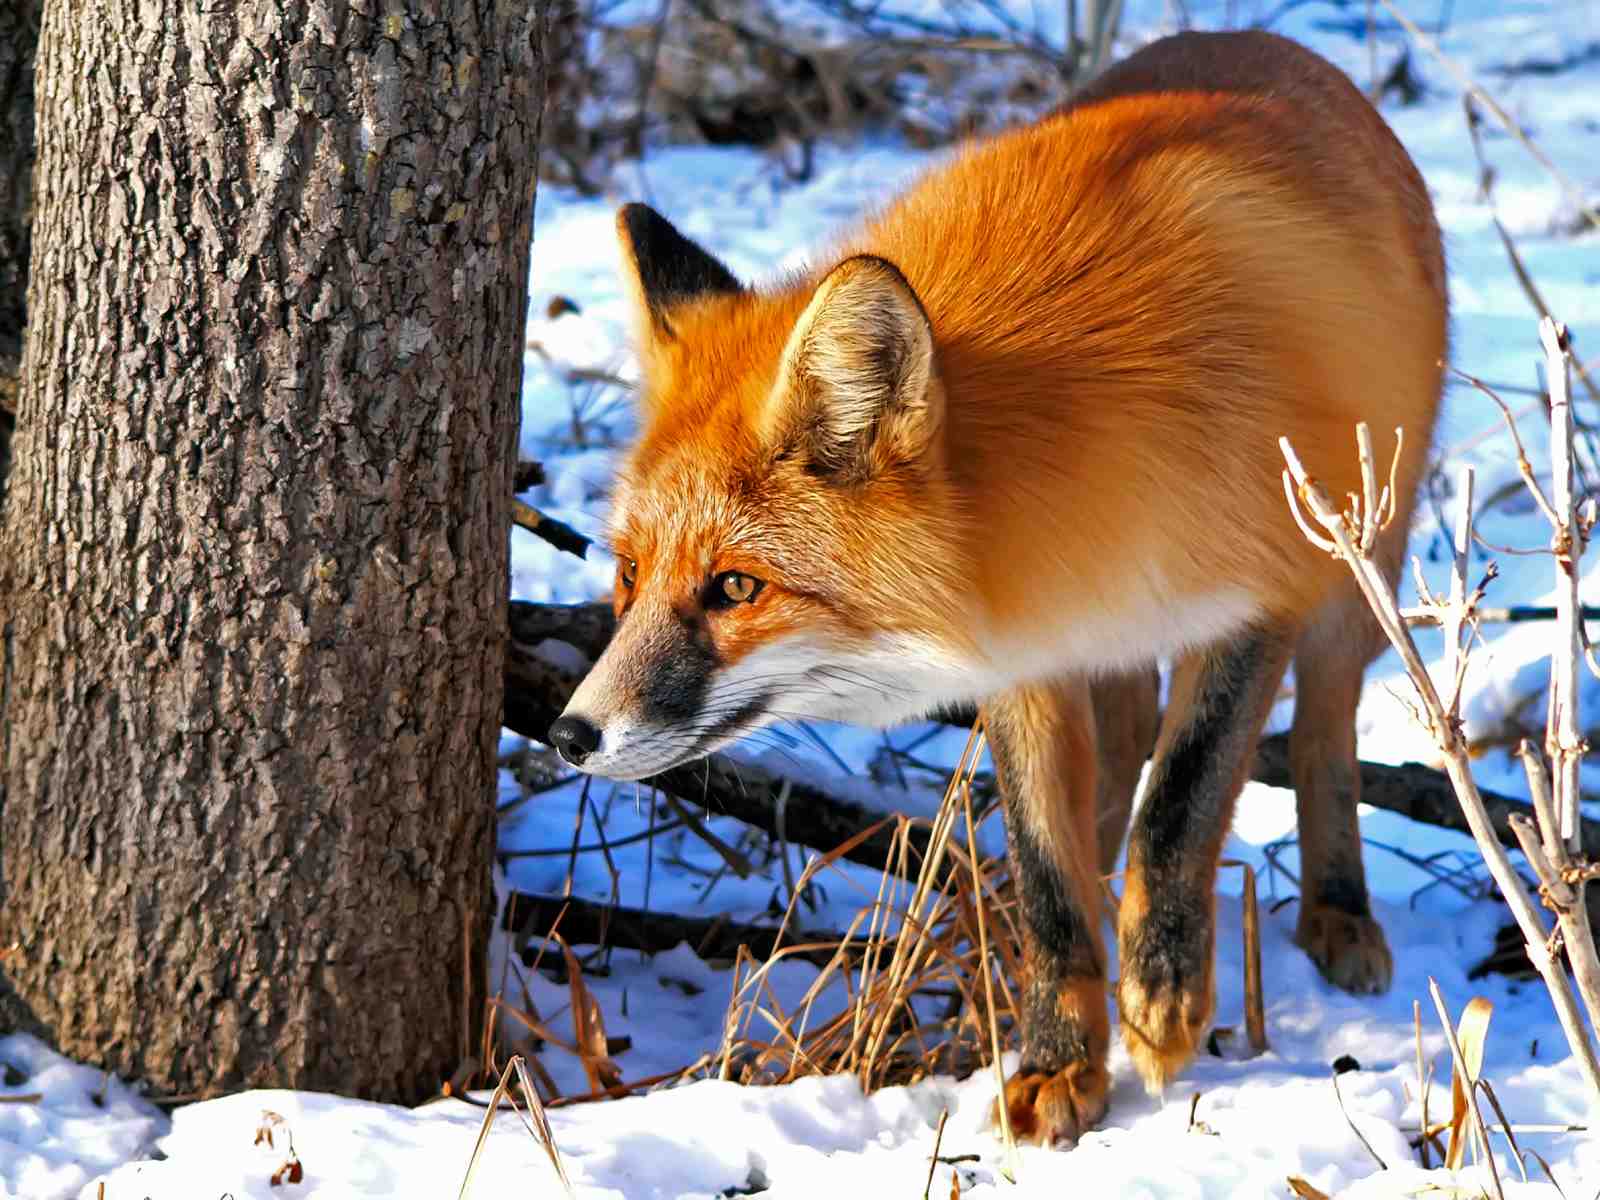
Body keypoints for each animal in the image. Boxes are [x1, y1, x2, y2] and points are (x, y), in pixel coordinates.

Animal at [549, 29, 1447, 1145]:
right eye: (629, 574)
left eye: (734, 587)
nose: (569, 734)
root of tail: (1266, 43)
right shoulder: (1027, 647)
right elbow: (1047, 870)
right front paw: (1061, 1057)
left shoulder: (1257, 599)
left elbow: (1181, 803)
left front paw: (1162, 1002)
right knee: (1114, 764)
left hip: (1356, 569)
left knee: (1325, 727)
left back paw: (1337, 909)